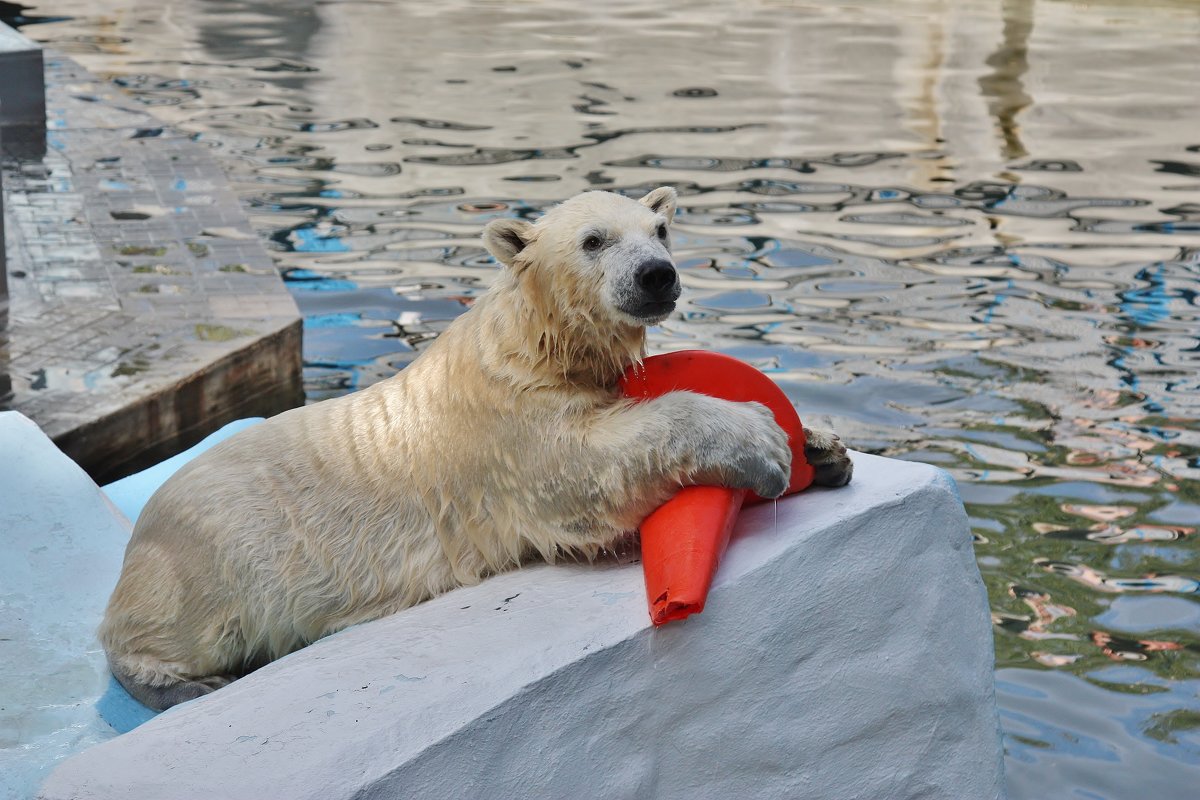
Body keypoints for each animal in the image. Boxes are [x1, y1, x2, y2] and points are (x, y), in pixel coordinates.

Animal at [103, 189, 854, 714]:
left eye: (661, 231)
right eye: (594, 240)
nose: (656, 276)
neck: (531, 342)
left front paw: (825, 448)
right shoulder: (508, 428)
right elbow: (590, 469)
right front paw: (763, 439)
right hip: (211, 557)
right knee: (159, 631)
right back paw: (184, 686)